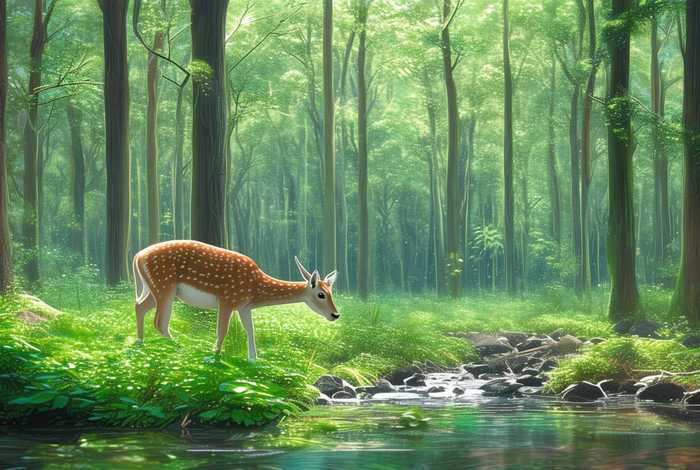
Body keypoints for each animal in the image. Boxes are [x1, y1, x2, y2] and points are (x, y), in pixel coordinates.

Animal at [132, 240, 339, 362]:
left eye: (331, 292)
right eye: (321, 294)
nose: (335, 314)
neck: (256, 290)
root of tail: (137, 256)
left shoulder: (244, 306)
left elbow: (250, 330)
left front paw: (254, 360)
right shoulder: (227, 298)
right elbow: (222, 330)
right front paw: (213, 357)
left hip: (156, 289)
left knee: (140, 306)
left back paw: (139, 343)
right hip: (164, 286)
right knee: (159, 321)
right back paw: (181, 348)